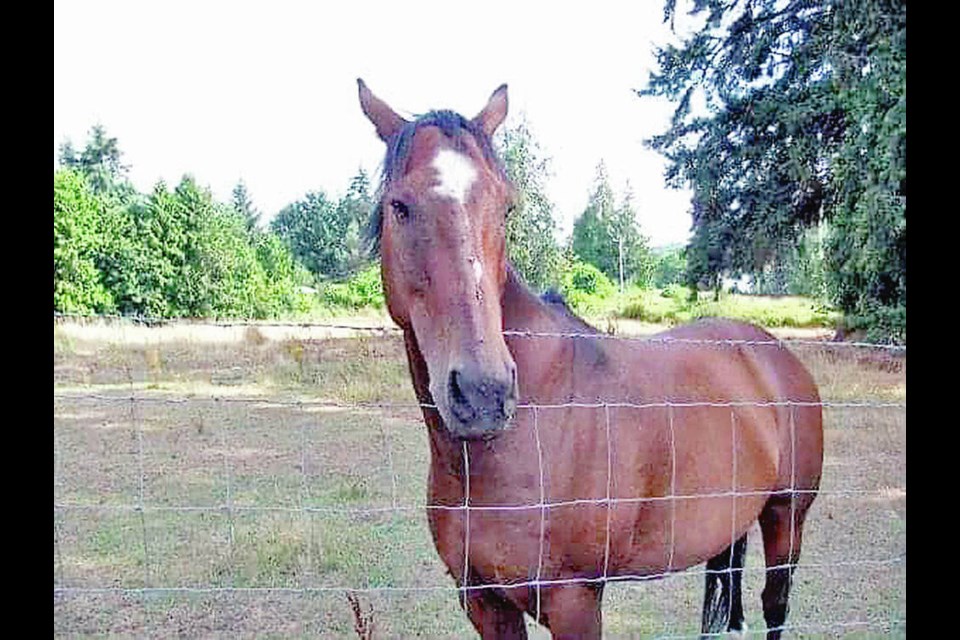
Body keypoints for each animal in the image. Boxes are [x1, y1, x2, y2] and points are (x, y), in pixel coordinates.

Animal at [356, 81, 820, 640]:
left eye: (505, 208)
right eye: (399, 206)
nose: (484, 394)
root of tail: (770, 353)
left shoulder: (575, 601)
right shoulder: (484, 601)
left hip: (785, 518)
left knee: (775, 605)